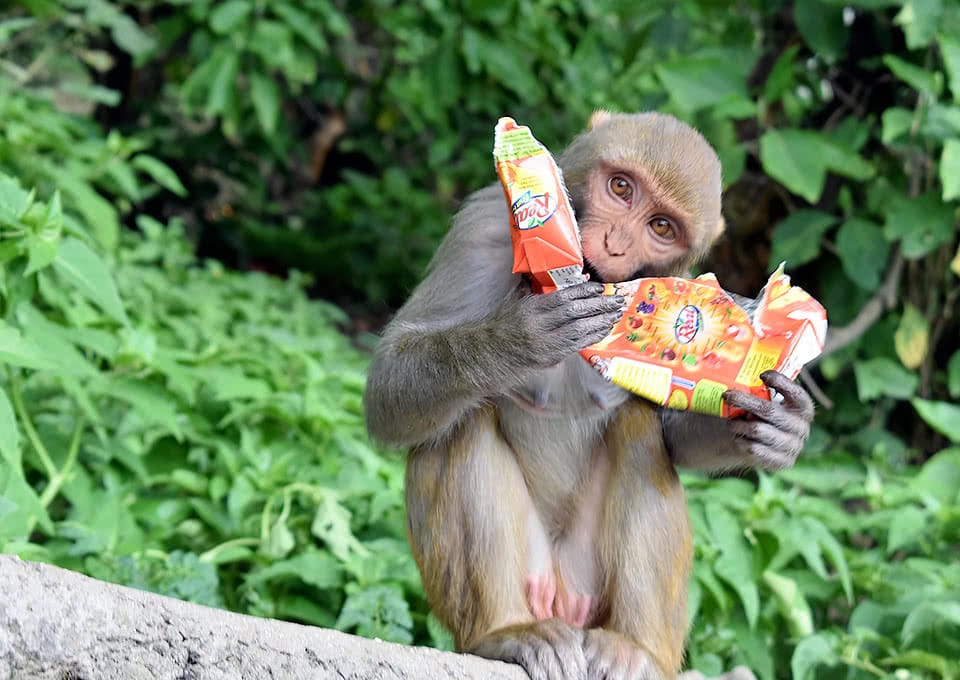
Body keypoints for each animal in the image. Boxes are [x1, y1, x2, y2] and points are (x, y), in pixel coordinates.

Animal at [364, 113, 812, 680]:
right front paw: (517, 338)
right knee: (455, 424)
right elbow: (389, 383)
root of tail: (561, 599)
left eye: (661, 227)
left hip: (591, 587)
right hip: (524, 585)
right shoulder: (481, 230)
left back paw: (635, 650)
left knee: (639, 434)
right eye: (621, 188)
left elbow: (674, 425)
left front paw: (776, 429)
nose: (615, 245)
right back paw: (504, 632)